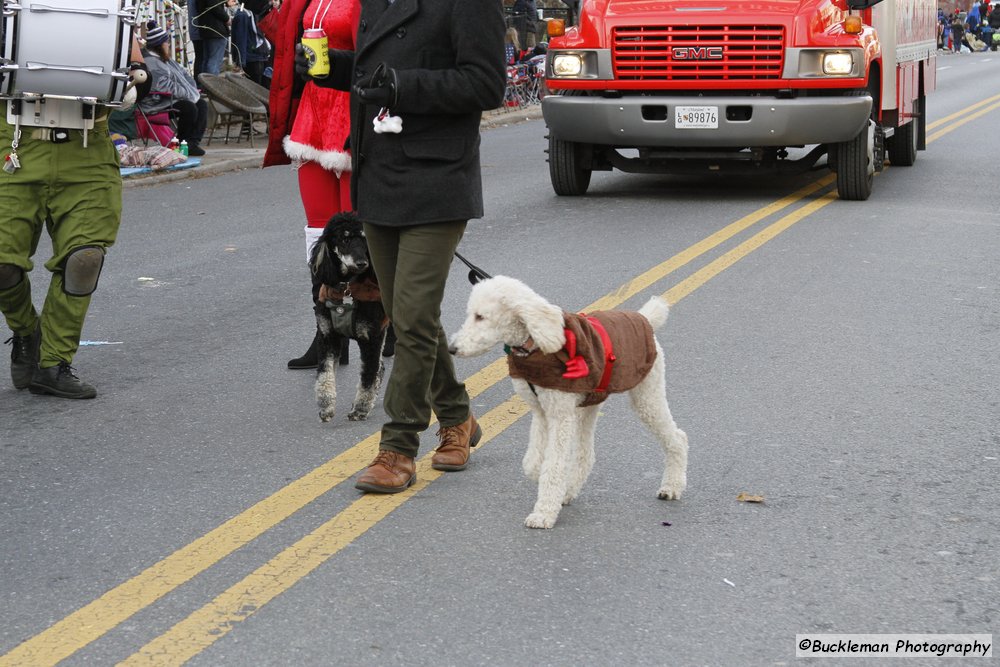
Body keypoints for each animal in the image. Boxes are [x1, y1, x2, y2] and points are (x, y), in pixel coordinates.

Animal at [308, 214, 394, 422]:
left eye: (365, 238)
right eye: (344, 239)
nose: (362, 263)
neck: (347, 288)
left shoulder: (372, 338)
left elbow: (368, 376)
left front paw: (360, 409)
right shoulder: (328, 336)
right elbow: (325, 373)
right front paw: (326, 406)